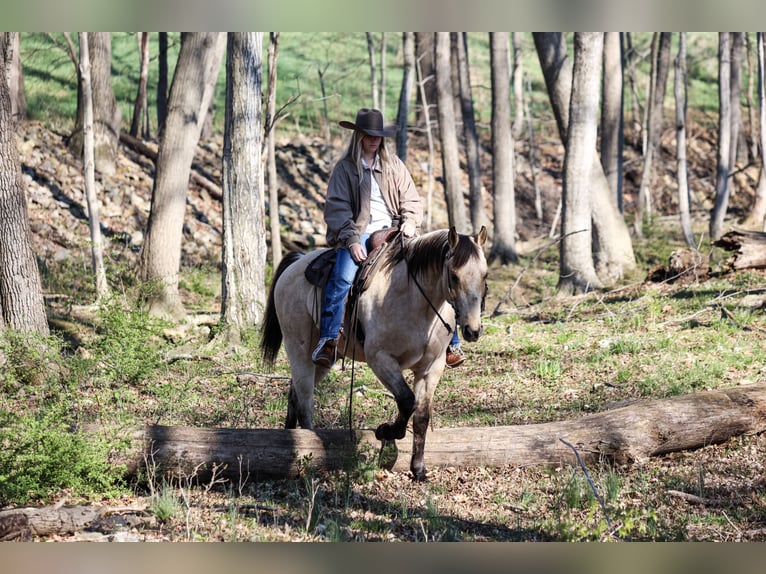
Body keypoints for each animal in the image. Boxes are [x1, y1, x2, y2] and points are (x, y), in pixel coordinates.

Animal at [260, 226, 488, 481]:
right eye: (454, 276)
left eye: (485, 275)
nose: (472, 330)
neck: (413, 299)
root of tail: (297, 263)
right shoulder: (381, 360)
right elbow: (407, 400)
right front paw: (386, 431)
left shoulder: (432, 367)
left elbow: (420, 416)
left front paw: (418, 469)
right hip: (298, 349)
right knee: (305, 401)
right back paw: (308, 447)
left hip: (321, 361)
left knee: (294, 394)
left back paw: (288, 437)